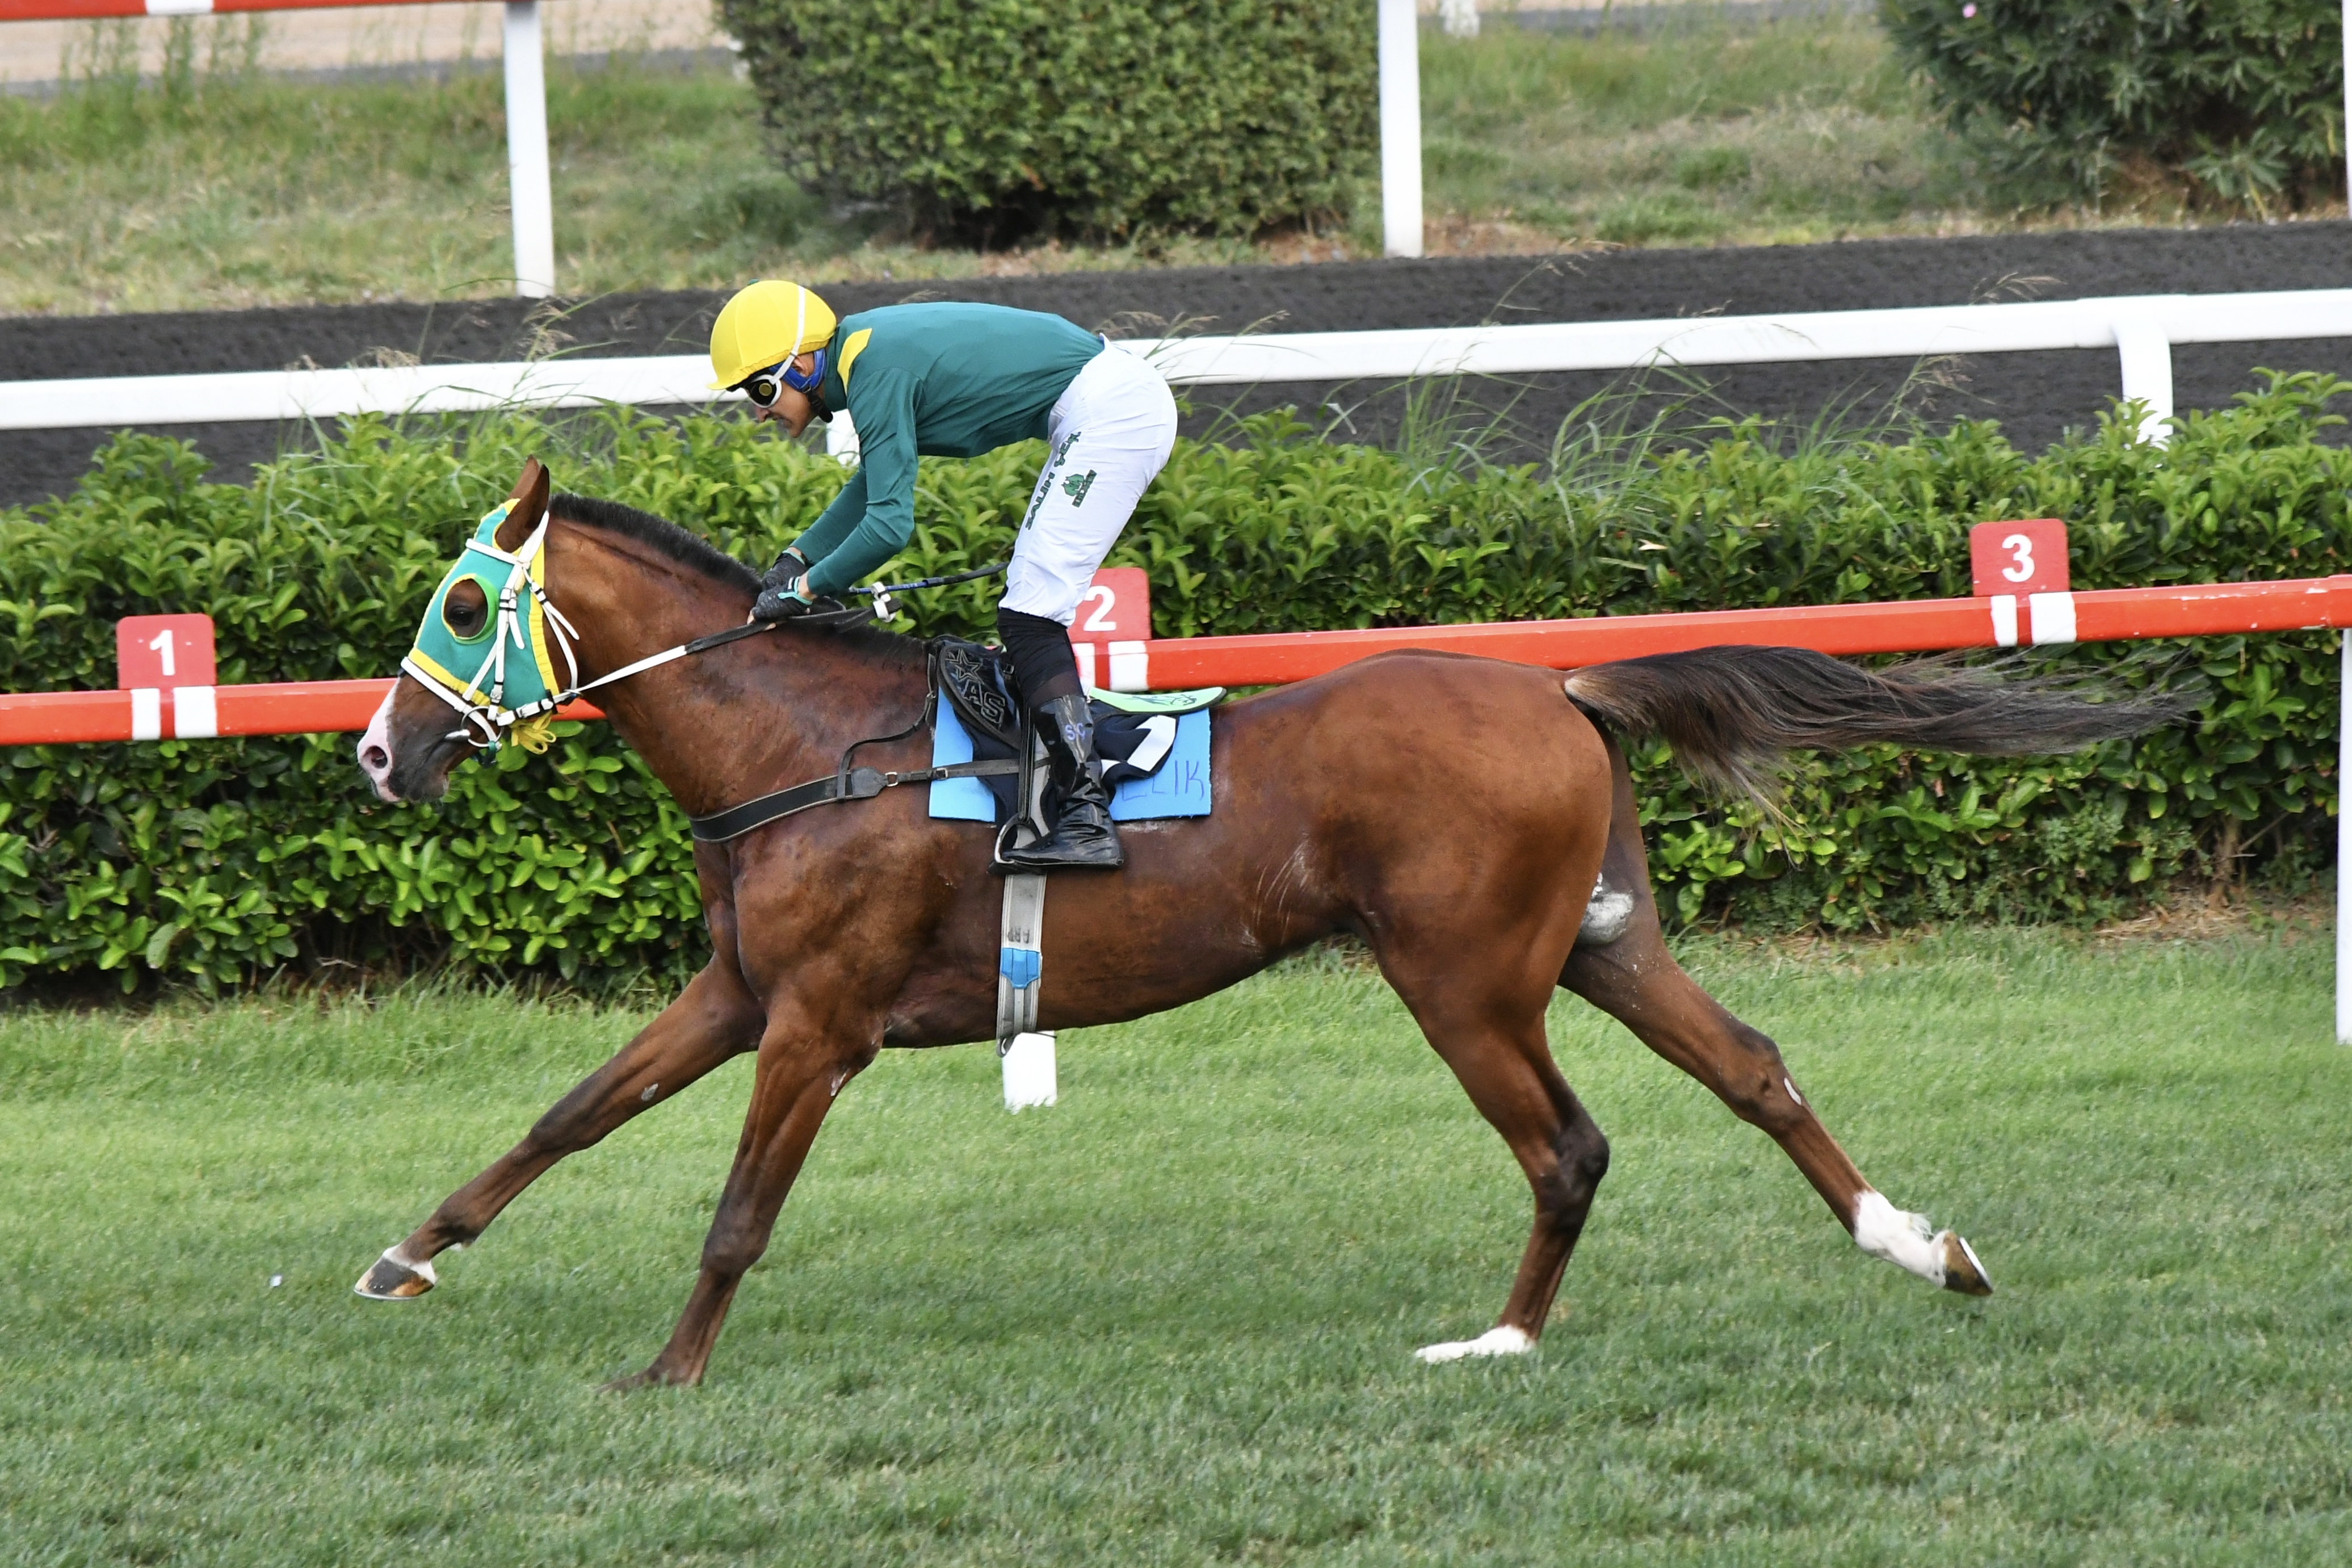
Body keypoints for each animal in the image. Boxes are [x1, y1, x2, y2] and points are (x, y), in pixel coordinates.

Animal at [353, 460, 2180, 1388]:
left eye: (464, 600)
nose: (380, 752)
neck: (810, 748)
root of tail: (1561, 686)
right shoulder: (741, 990)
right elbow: (565, 1115)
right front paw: (405, 1256)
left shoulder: (818, 1023)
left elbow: (737, 1213)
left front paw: (666, 1371)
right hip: (1602, 941)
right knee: (1754, 1068)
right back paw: (1914, 1244)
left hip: (1464, 979)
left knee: (1570, 1145)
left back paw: (1501, 1335)